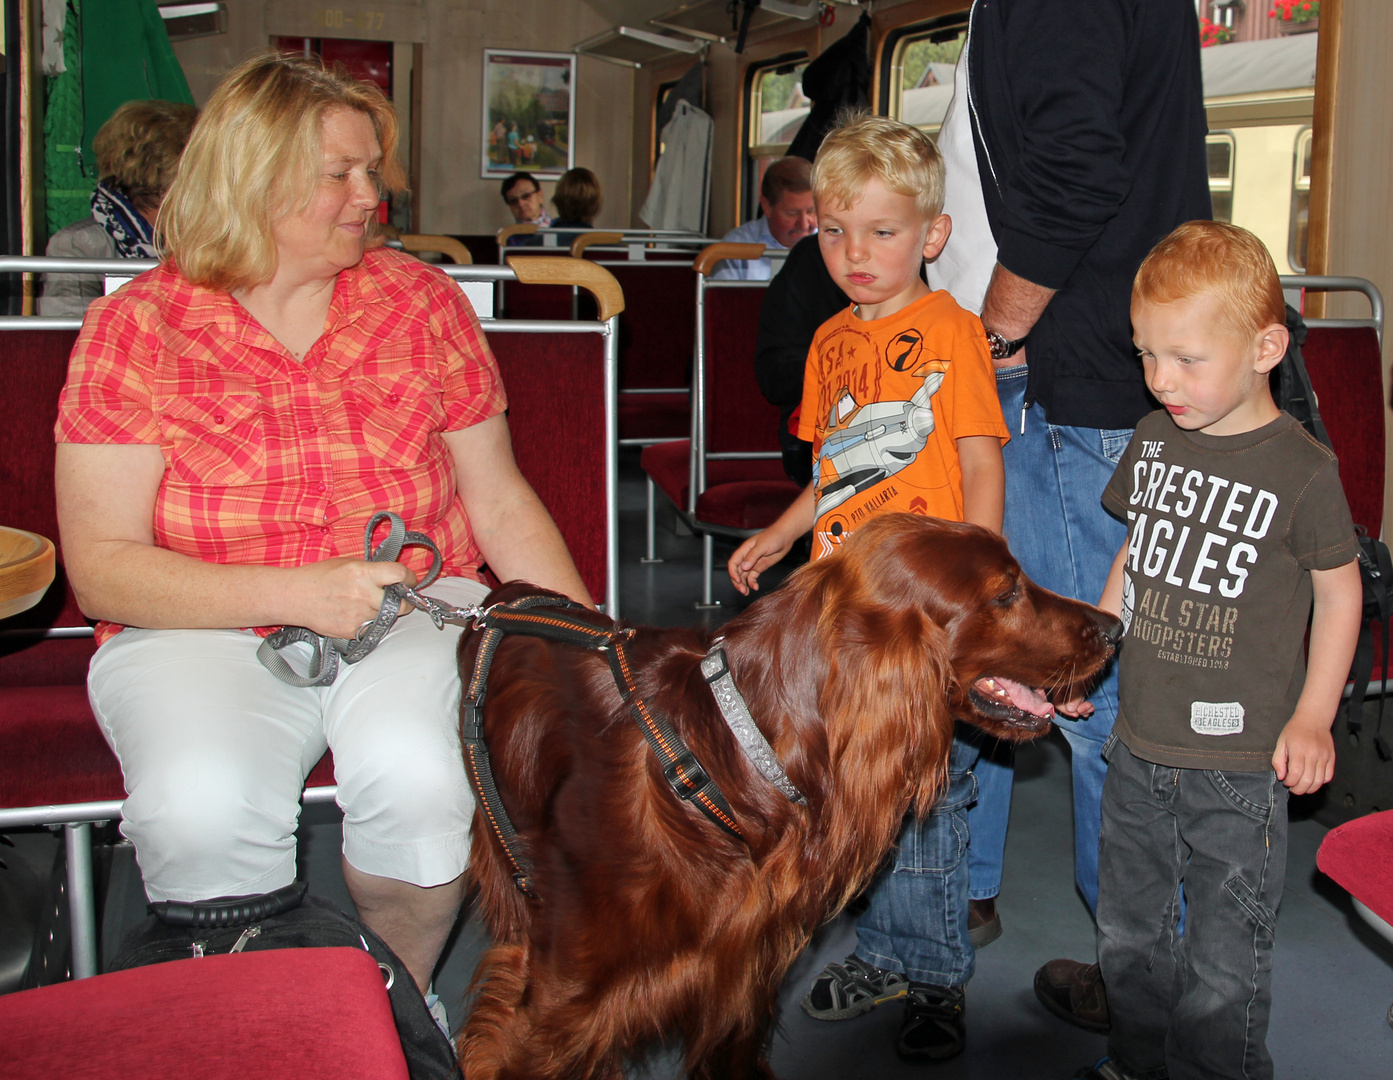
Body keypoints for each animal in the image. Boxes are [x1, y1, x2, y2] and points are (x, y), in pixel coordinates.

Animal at [456, 515, 1119, 1080]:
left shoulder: (740, 981)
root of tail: (500, 599)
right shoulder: (550, 1011)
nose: (1114, 628)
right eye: (1005, 594)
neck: (732, 753)